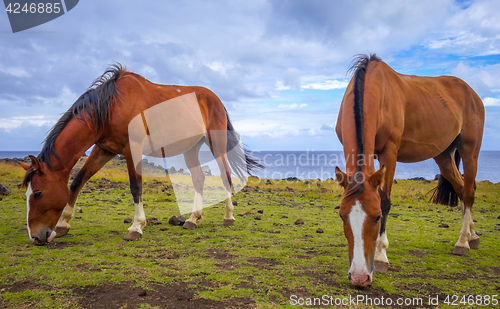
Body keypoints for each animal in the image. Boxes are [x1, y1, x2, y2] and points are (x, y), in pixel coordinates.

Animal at [19, 63, 262, 244]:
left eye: (38, 193)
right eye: (27, 193)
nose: (36, 237)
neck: (110, 107)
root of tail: (216, 99)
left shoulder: (132, 149)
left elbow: (136, 187)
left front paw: (136, 227)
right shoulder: (103, 149)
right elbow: (78, 180)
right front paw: (63, 224)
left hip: (216, 144)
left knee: (226, 176)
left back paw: (228, 217)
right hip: (190, 149)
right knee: (199, 179)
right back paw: (192, 219)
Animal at [336, 54, 484, 286]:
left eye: (377, 217)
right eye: (342, 216)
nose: (359, 277)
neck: (374, 89)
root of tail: (471, 92)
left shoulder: (389, 152)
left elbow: (385, 200)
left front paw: (381, 256)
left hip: (470, 150)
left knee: (468, 192)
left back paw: (462, 242)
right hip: (443, 156)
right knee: (461, 189)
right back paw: (472, 235)